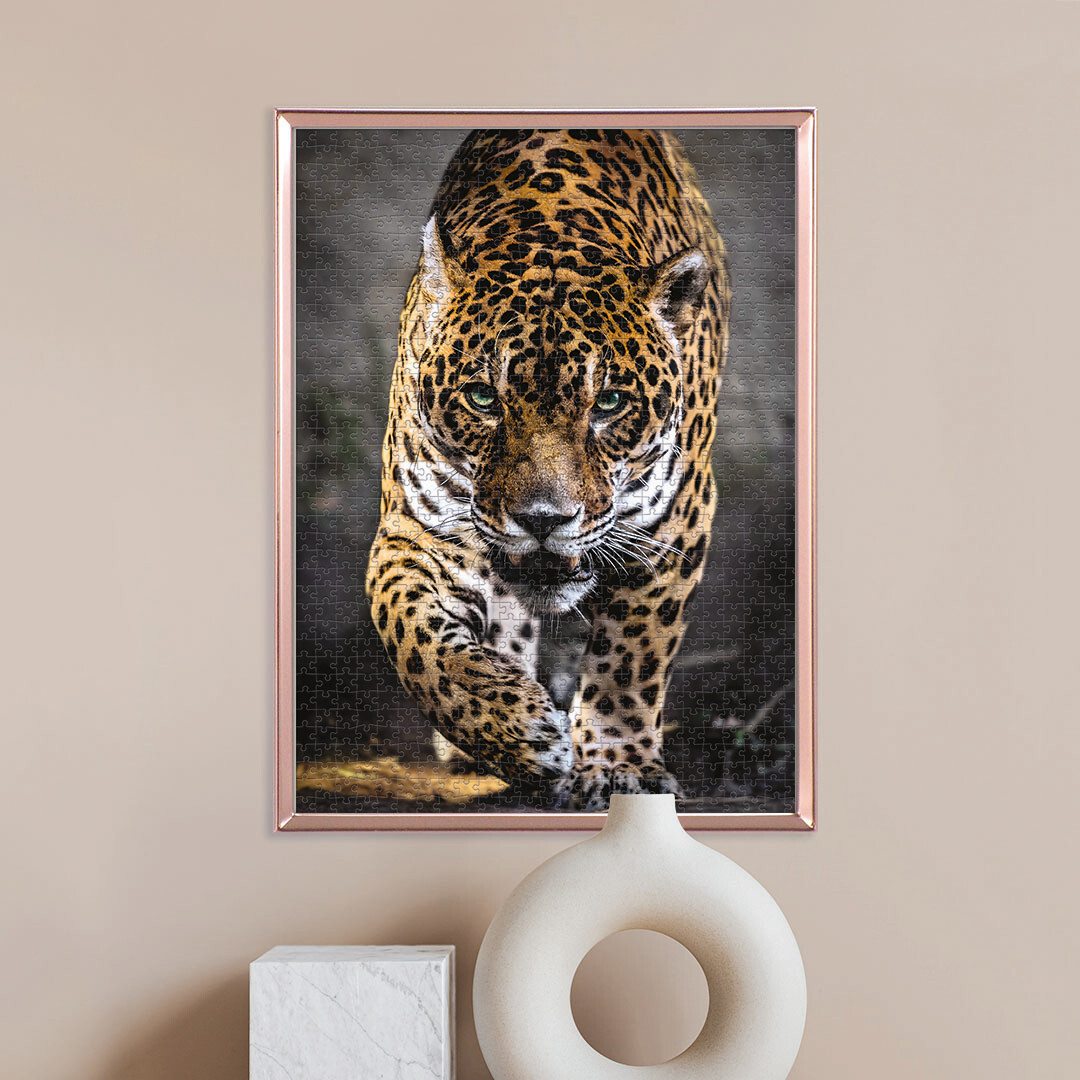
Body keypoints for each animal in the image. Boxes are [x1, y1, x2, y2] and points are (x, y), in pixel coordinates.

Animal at [365, 129, 730, 810]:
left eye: (609, 403)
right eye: (483, 398)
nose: (542, 519)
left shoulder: (674, 526)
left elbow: (629, 659)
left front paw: (617, 766)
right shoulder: (415, 531)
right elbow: (416, 640)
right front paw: (518, 732)